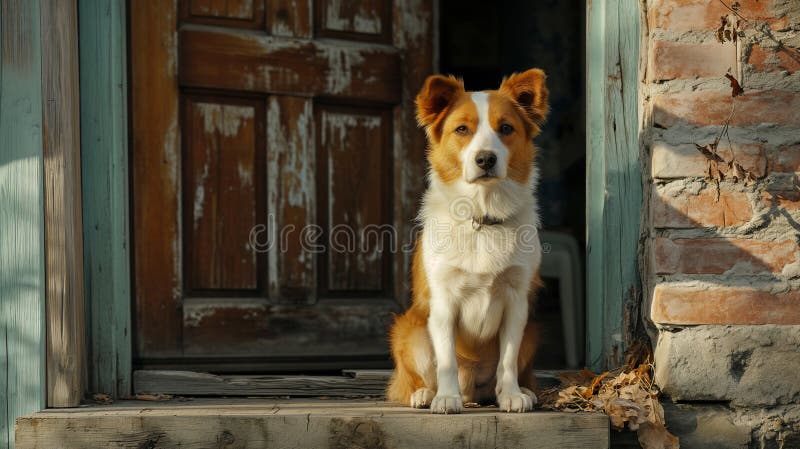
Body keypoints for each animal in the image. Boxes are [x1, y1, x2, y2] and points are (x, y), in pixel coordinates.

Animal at [388, 69, 552, 412]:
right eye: (462, 129)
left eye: (506, 128)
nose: (485, 159)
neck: (483, 216)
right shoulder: (443, 302)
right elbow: (446, 360)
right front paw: (446, 398)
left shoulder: (517, 302)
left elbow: (508, 360)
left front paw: (511, 394)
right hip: (409, 330)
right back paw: (427, 394)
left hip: (532, 330)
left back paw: (517, 391)